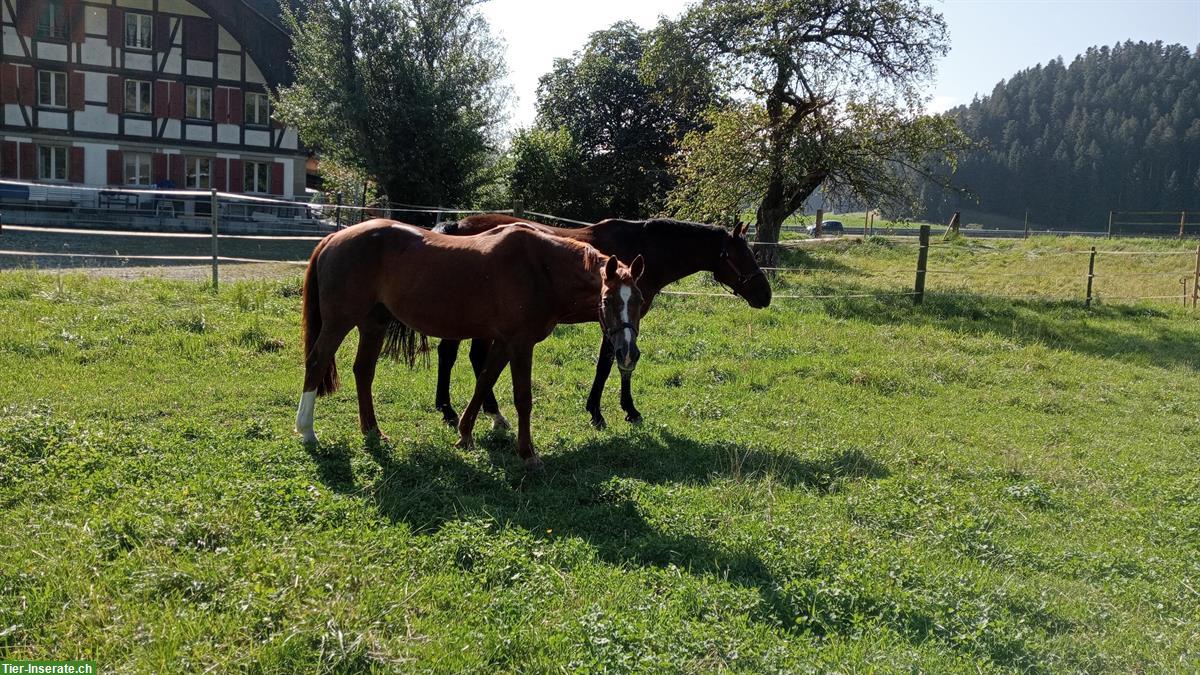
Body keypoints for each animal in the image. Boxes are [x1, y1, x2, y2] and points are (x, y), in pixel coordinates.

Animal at [294, 219, 643, 468]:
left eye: (639, 300)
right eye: (608, 300)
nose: (627, 353)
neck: (540, 268)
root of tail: (334, 238)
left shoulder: (503, 341)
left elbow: (484, 382)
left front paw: (464, 434)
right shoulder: (520, 344)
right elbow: (522, 398)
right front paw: (527, 452)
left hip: (373, 324)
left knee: (363, 371)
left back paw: (372, 430)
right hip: (340, 322)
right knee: (317, 362)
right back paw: (307, 432)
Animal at [432, 212, 768, 427]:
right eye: (740, 255)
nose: (765, 294)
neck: (644, 248)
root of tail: (457, 224)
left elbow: (618, 363)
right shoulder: (616, 322)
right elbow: (610, 365)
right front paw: (607, 411)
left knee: (469, 356)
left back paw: (479, 410)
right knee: (453, 354)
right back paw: (453, 411)